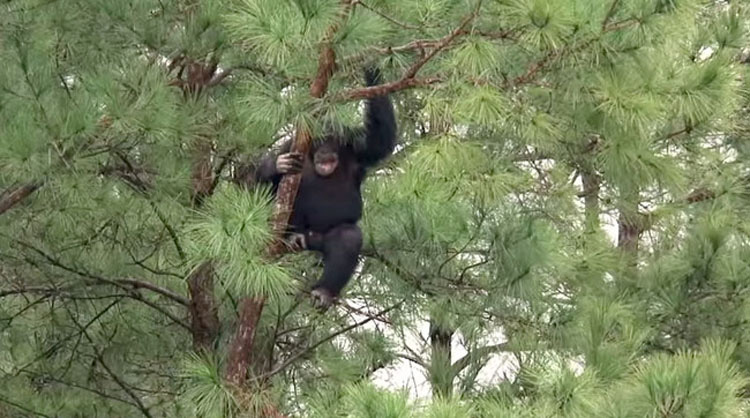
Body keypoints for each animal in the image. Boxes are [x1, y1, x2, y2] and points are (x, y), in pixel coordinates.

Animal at [253, 68, 396, 308]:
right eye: (319, 140)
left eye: (331, 138)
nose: (325, 152)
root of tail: (310, 240)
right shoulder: (291, 145)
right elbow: (254, 189)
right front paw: (276, 164)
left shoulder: (359, 148)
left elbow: (382, 138)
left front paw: (371, 67)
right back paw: (292, 237)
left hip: (322, 239)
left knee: (347, 238)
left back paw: (323, 291)